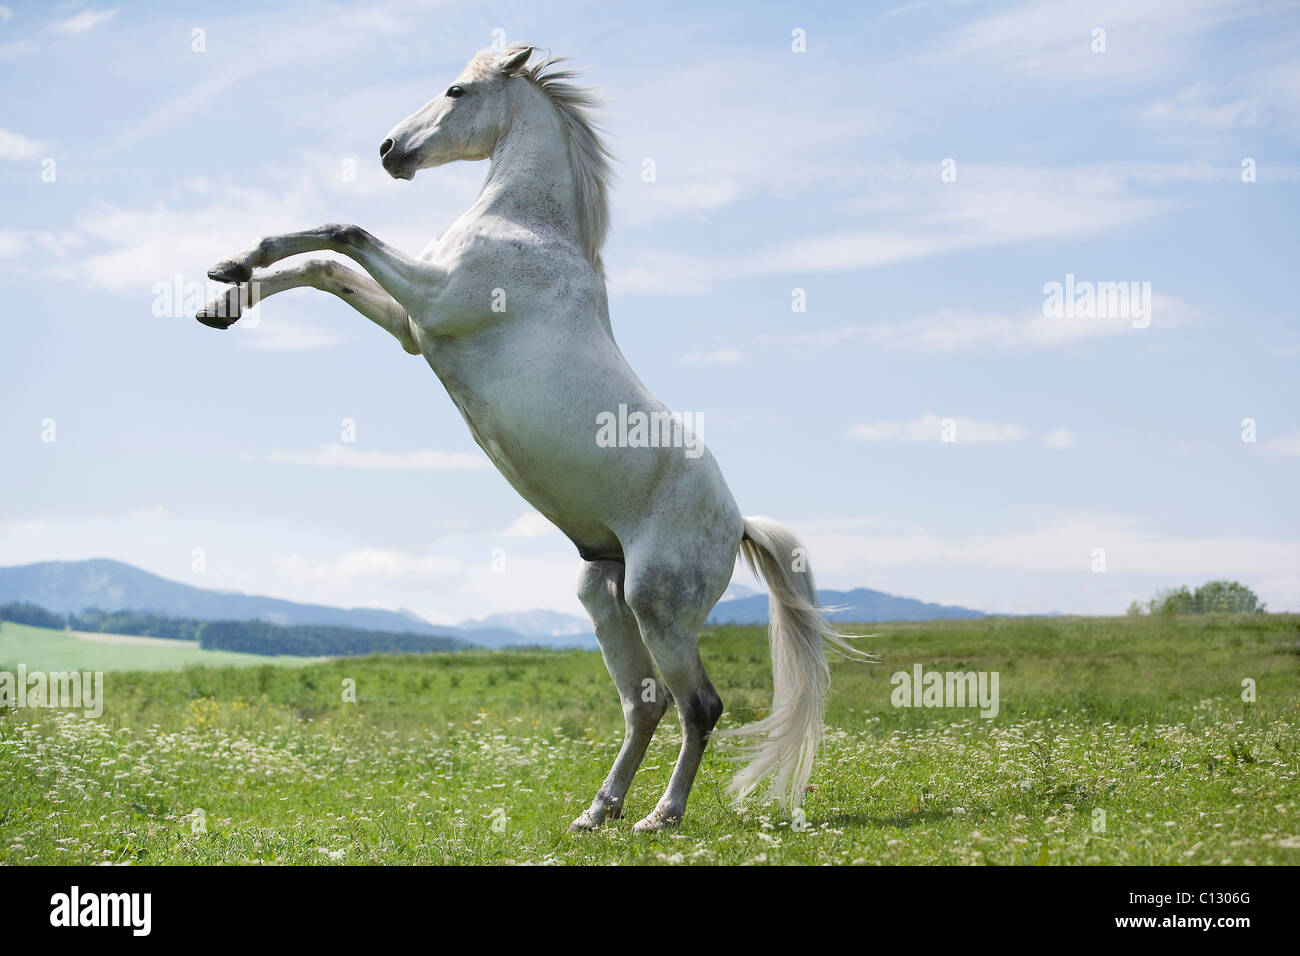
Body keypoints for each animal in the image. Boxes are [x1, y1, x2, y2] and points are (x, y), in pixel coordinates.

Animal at [197, 43, 870, 832]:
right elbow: (324, 267)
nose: (390, 150)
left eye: (456, 90)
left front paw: (232, 272)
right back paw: (597, 812)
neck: (526, 228)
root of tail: (738, 523)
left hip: (658, 607)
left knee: (700, 706)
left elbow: (343, 235)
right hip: (603, 595)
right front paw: (224, 291)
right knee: (646, 705)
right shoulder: (412, 326)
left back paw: (660, 815)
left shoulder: (432, 298)